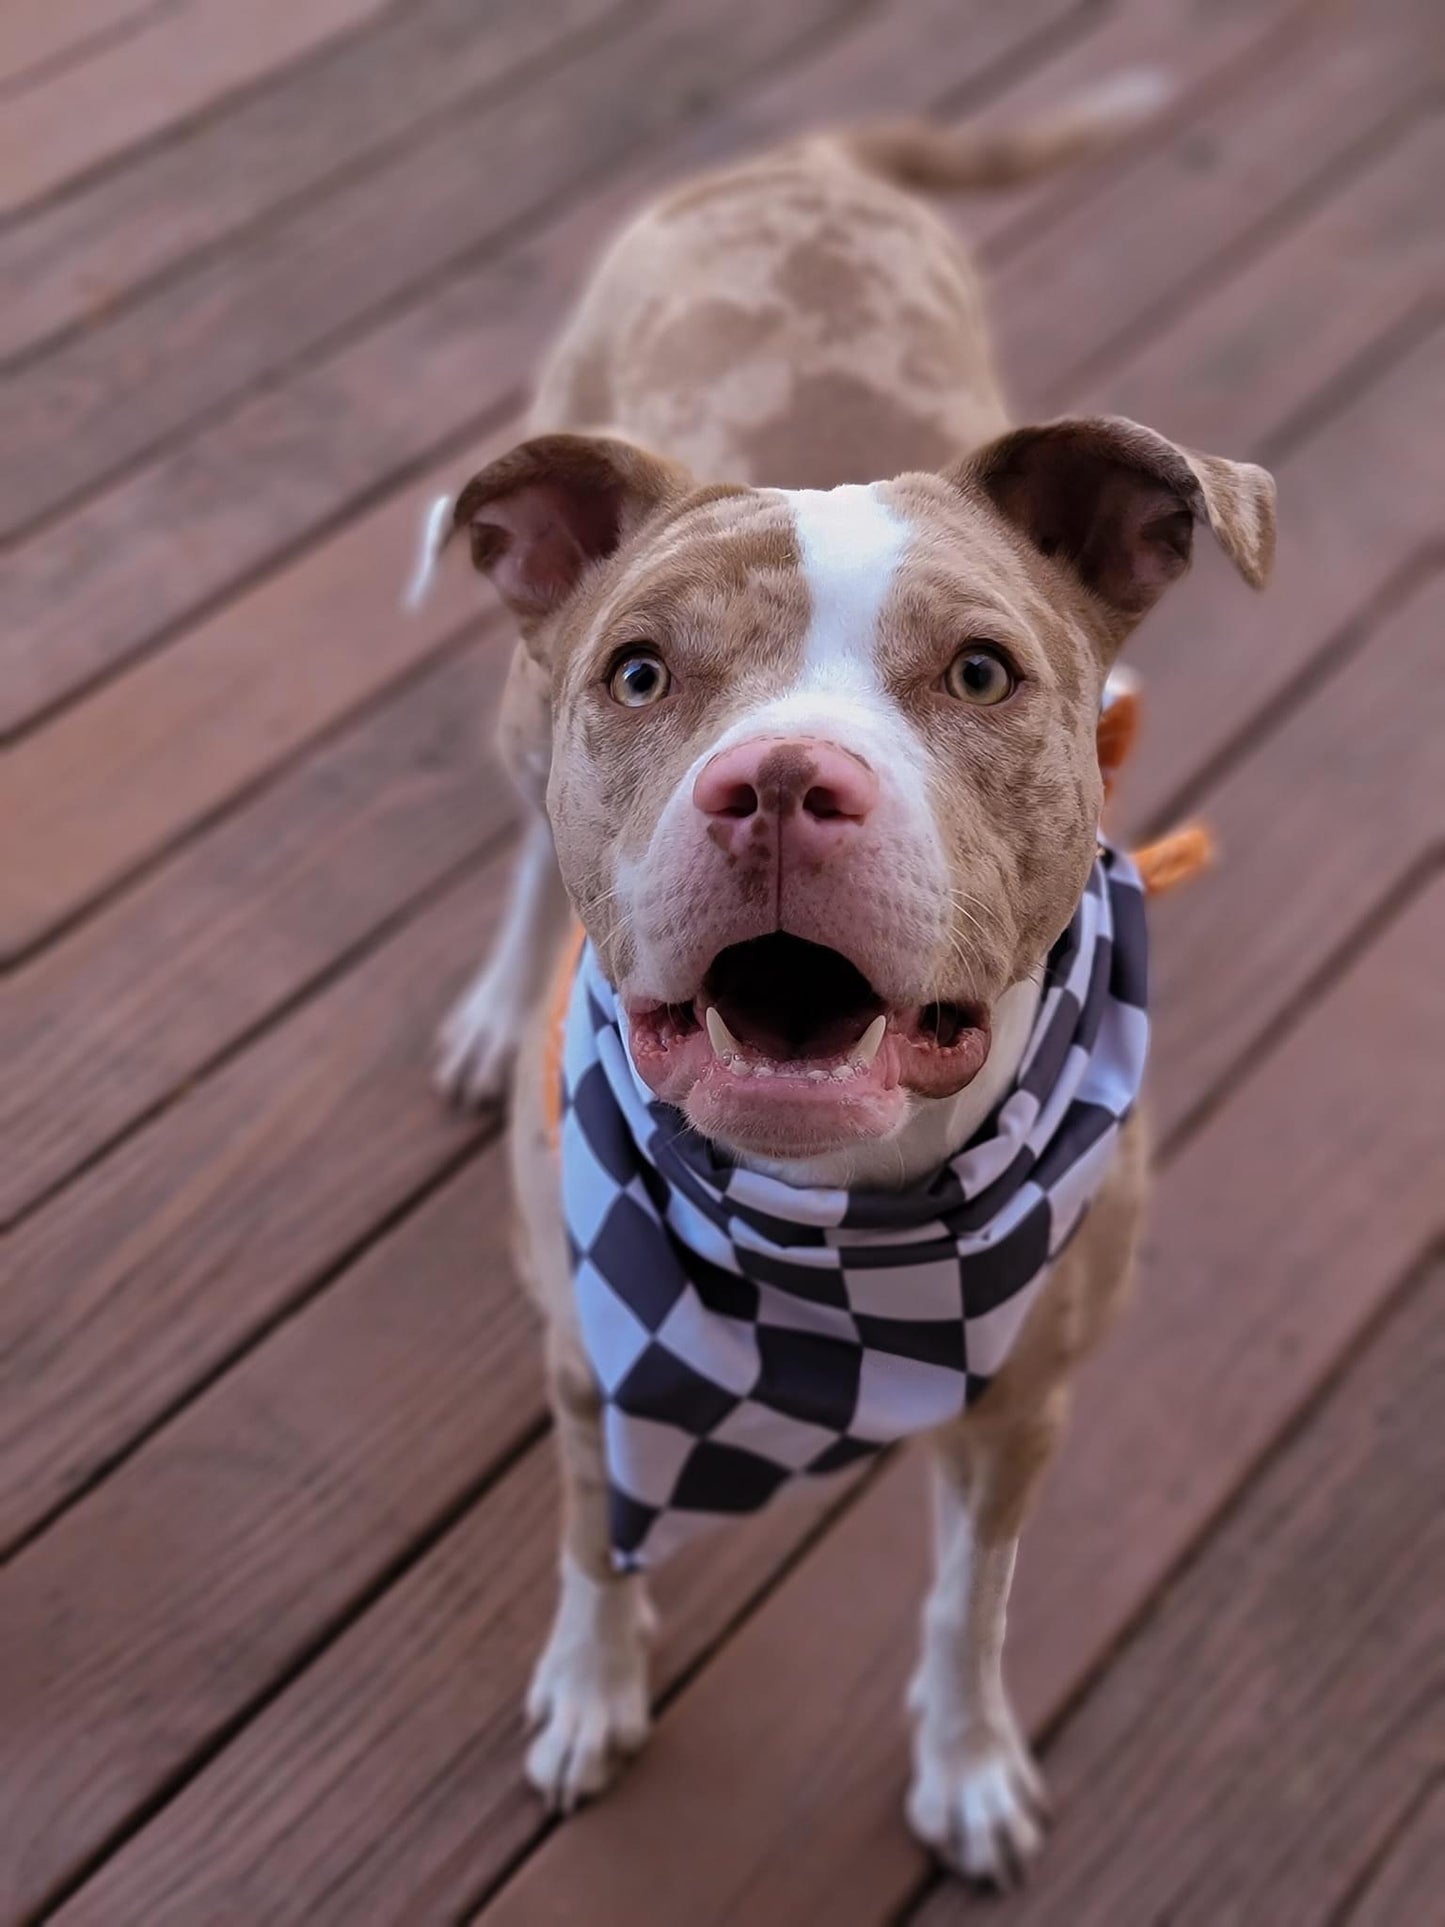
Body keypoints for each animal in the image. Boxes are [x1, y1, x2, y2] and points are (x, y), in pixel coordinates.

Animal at [418, 75, 1279, 1880]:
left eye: (983, 672)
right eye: (642, 672)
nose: (780, 785)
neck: (834, 1228)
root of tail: (802, 167)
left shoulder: (1026, 1410)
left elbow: (969, 1604)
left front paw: (967, 1762)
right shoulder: (586, 1364)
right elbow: (596, 1541)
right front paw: (591, 1689)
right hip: (519, 691)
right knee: (526, 837)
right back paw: (488, 1010)